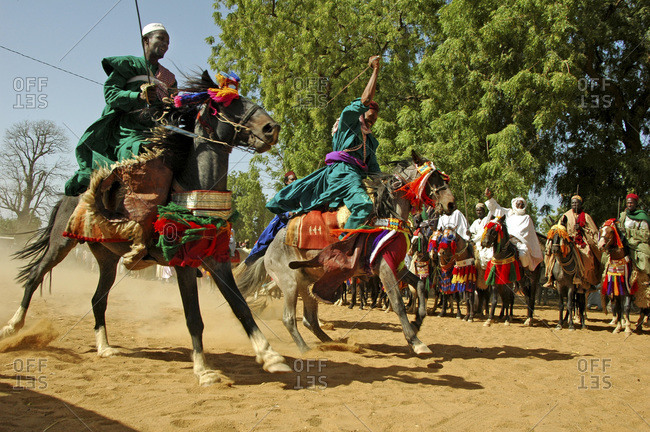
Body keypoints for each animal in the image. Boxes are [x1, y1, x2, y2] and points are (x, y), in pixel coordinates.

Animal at [0, 71, 288, 384]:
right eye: (230, 104)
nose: (271, 128)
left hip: (106, 257)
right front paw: (203, 370)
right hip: (61, 244)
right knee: (34, 278)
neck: (193, 192)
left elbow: (241, 308)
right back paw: (13, 327)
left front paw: (270, 356)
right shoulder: (184, 265)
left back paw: (104, 347)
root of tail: (69, 195)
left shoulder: (217, 261)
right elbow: (194, 318)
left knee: (97, 299)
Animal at [235, 152, 454, 354]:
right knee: (289, 319)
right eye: (433, 178)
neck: (386, 214)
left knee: (309, 320)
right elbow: (398, 302)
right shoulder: (384, 267)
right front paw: (415, 341)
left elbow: (420, 285)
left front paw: (417, 322)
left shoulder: (397, 266)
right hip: (289, 283)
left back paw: (332, 343)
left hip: (306, 282)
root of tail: (269, 248)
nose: (451, 204)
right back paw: (306, 349)